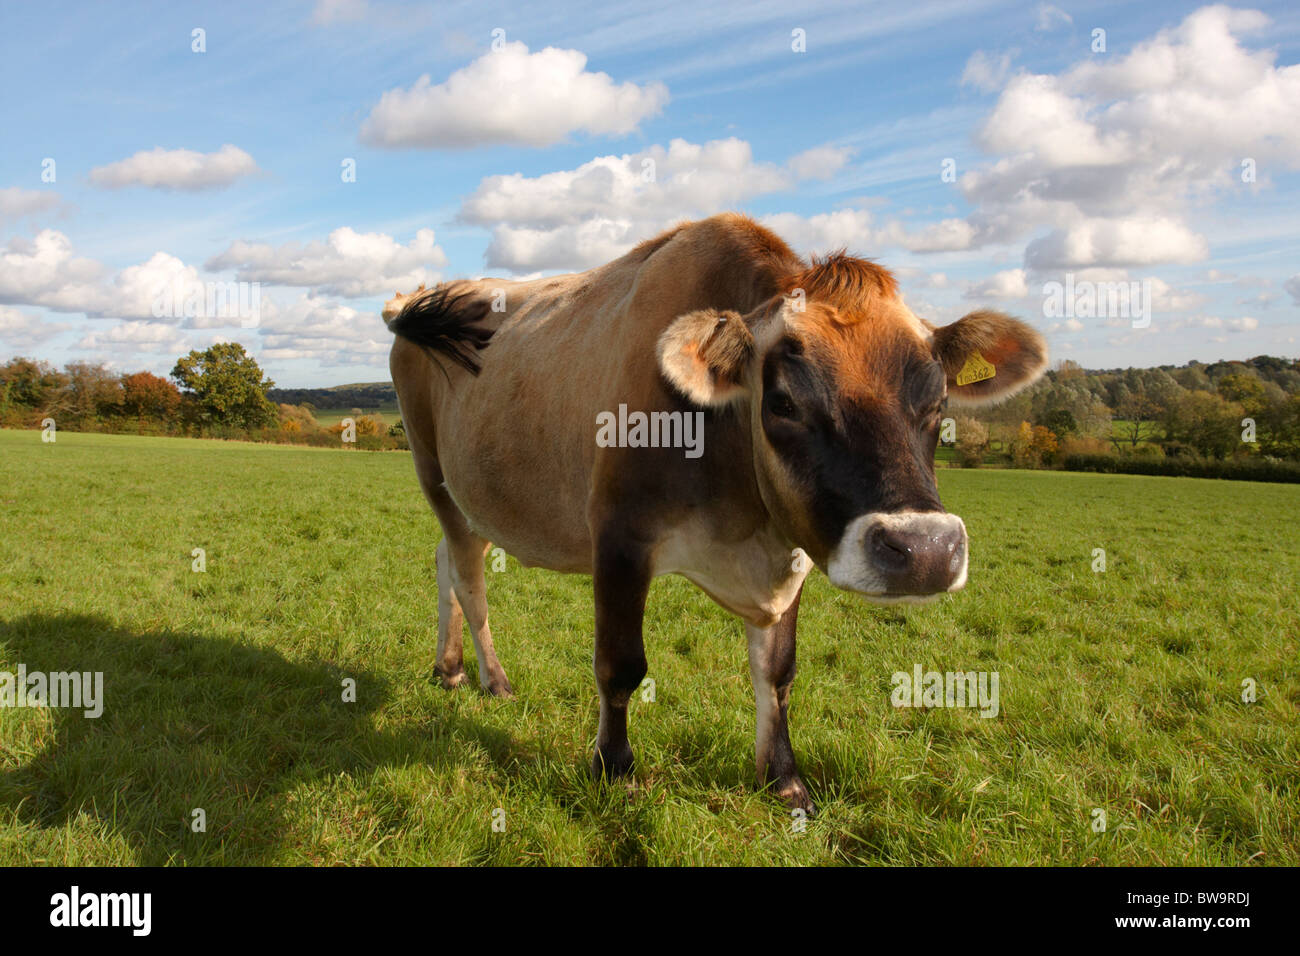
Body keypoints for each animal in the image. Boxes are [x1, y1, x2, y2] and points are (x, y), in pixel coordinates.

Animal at [384, 213, 1047, 811]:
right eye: (783, 402)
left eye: (938, 402)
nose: (927, 551)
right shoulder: (619, 536)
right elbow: (620, 665)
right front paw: (614, 772)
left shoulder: (792, 550)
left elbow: (778, 673)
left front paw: (784, 780)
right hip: (434, 472)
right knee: (469, 577)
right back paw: (491, 680)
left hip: (477, 496)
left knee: (447, 559)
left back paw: (449, 668)